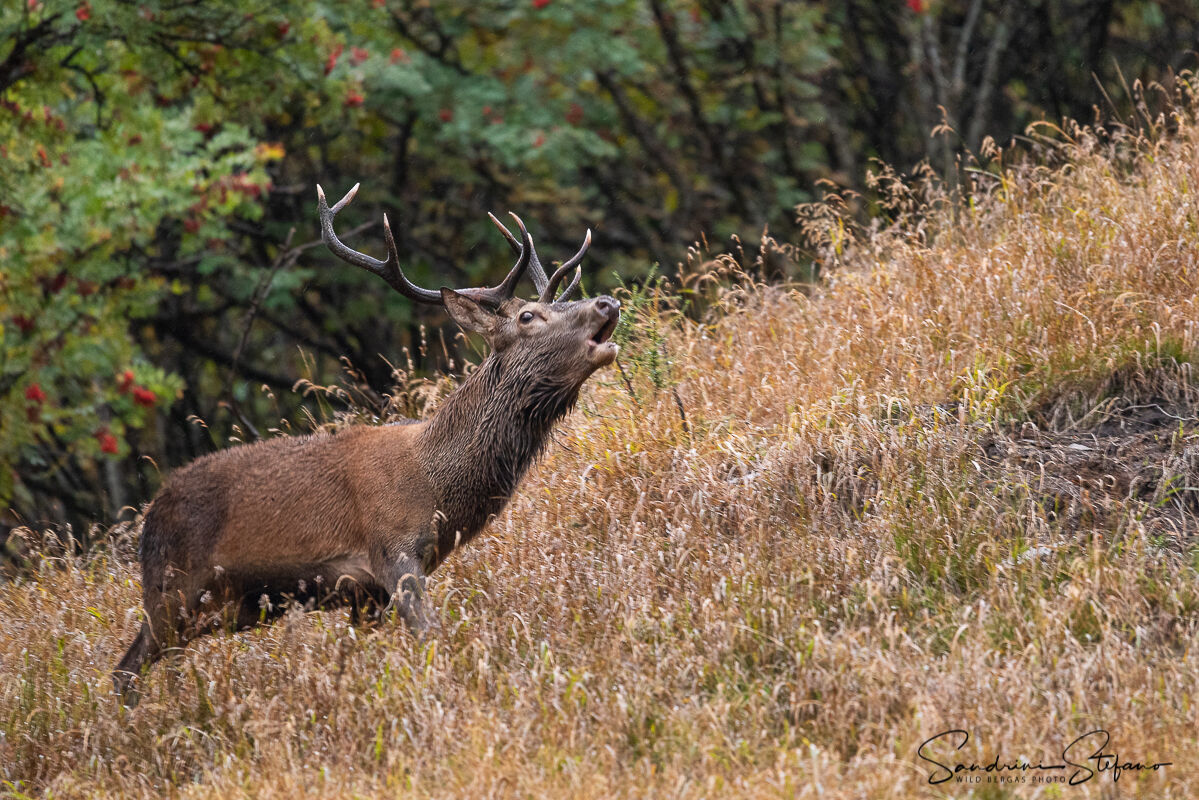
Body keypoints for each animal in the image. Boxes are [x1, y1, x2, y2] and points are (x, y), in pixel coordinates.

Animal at [113, 183, 620, 705]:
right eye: (527, 316)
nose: (607, 302)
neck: (436, 489)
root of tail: (149, 514)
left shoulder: (368, 593)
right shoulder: (393, 552)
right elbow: (432, 637)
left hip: (216, 605)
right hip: (172, 584)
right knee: (126, 667)